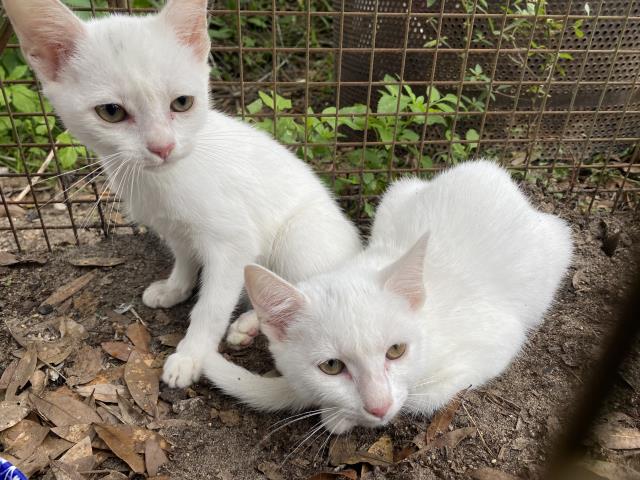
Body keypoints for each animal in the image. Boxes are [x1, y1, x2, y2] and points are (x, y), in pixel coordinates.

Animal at [5, 0, 362, 388]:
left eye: (182, 103)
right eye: (111, 111)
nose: (162, 147)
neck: (161, 182)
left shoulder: (234, 243)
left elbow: (212, 305)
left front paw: (191, 355)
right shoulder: (173, 228)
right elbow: (185, 258)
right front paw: (174, 288)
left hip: (300, 239)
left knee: (300, 298)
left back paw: (252, 323)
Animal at [202, 162, 572, 436]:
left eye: (396, 350)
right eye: (331, 366)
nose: (378, 406)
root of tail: (491, 170)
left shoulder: (497, 339)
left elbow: (421, 396)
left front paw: (338, 416)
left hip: (555, 246)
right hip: (397, 192)